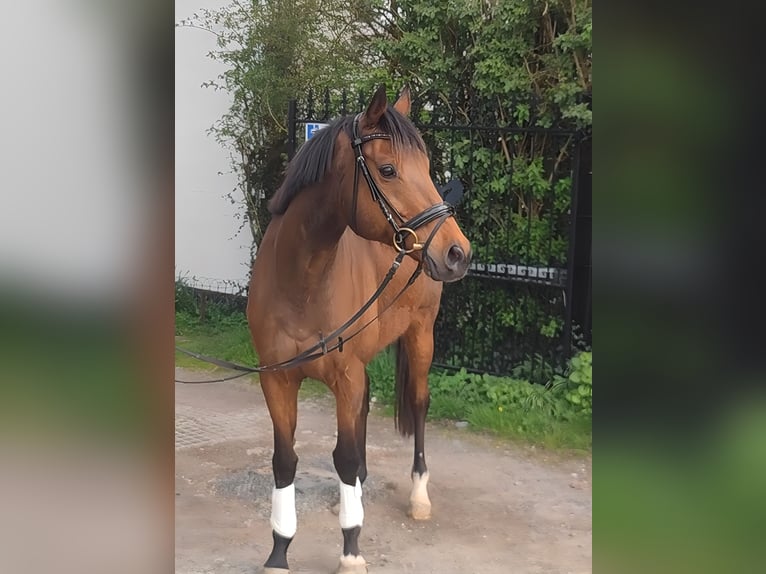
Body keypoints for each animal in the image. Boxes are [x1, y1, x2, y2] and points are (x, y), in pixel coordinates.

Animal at [246, 85, 472, 574]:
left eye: (427, 168)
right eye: (388, 170)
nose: (457, 252)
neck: (303, 281)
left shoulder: (345, 374)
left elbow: (345, 457)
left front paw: (350, 549)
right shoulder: (277, 379)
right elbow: (285, 460)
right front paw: (279, 550)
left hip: (421, 337)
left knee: (419, 405)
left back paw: (419, 495)